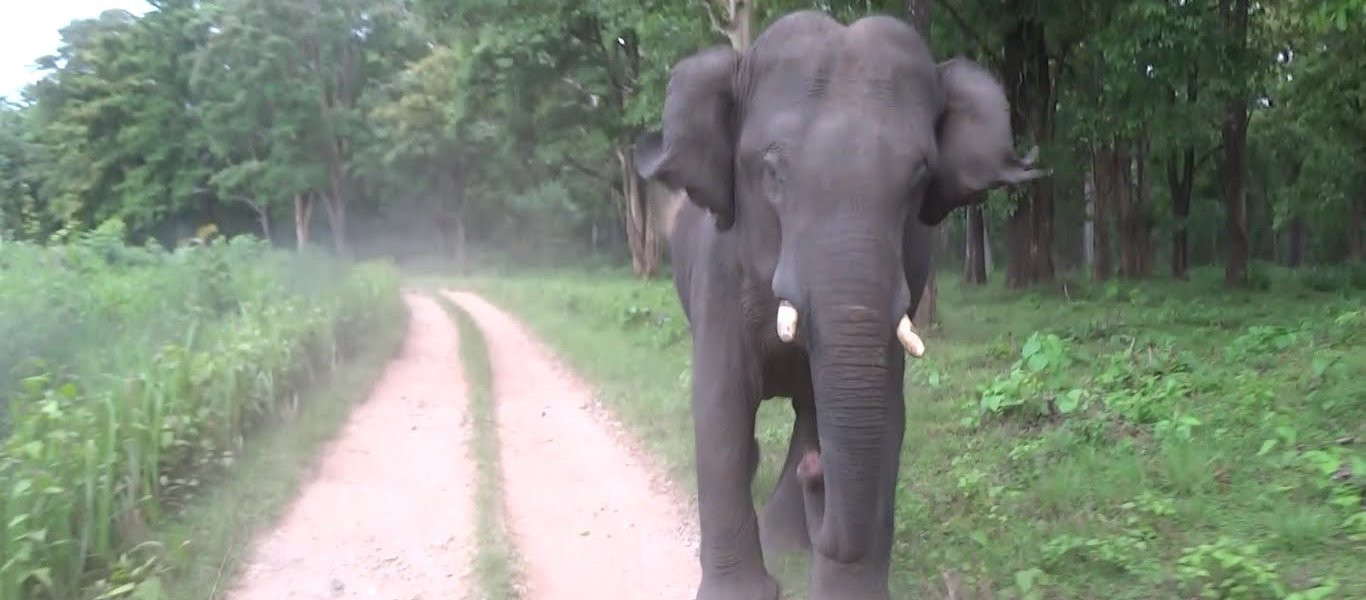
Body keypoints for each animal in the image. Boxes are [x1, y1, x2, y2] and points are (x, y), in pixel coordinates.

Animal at [631, 9, 1043, 600]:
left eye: (919, 176)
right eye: (772, 171)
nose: (816, 470)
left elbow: (887, 416)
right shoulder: (718, 270)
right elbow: (720, 407)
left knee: (811, 407)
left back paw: (790, 537)